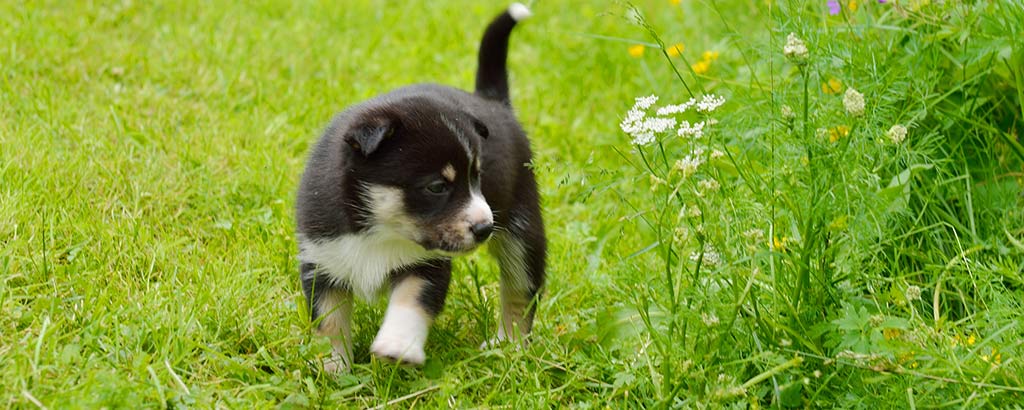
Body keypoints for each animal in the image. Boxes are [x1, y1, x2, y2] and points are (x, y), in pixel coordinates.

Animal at [294, 2, 544, 371]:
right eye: (437, 187)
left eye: (477, 177)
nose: (485, 227)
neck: (378, 229)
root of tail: (492, 101)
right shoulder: (322, 262)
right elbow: (329, 323)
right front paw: (331, 369)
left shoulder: (427, 265)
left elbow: (410, 301)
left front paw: (397, 346)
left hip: (523, 232)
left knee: (520, 292)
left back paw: (509, 348)